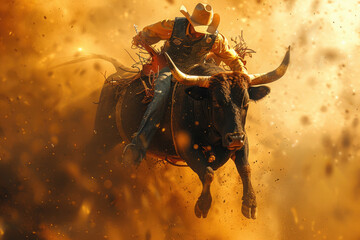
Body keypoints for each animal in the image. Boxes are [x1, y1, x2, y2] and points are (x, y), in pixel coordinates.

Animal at [86, 47, 290, 219]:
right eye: (216, 102)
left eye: (246, 103)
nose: (235, 138)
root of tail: (118, 75)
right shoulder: (186, 148)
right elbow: (207, 172)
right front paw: (203, 205)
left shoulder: (241, 140)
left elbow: (245, 168)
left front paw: (250, 204)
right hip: (102, 135)